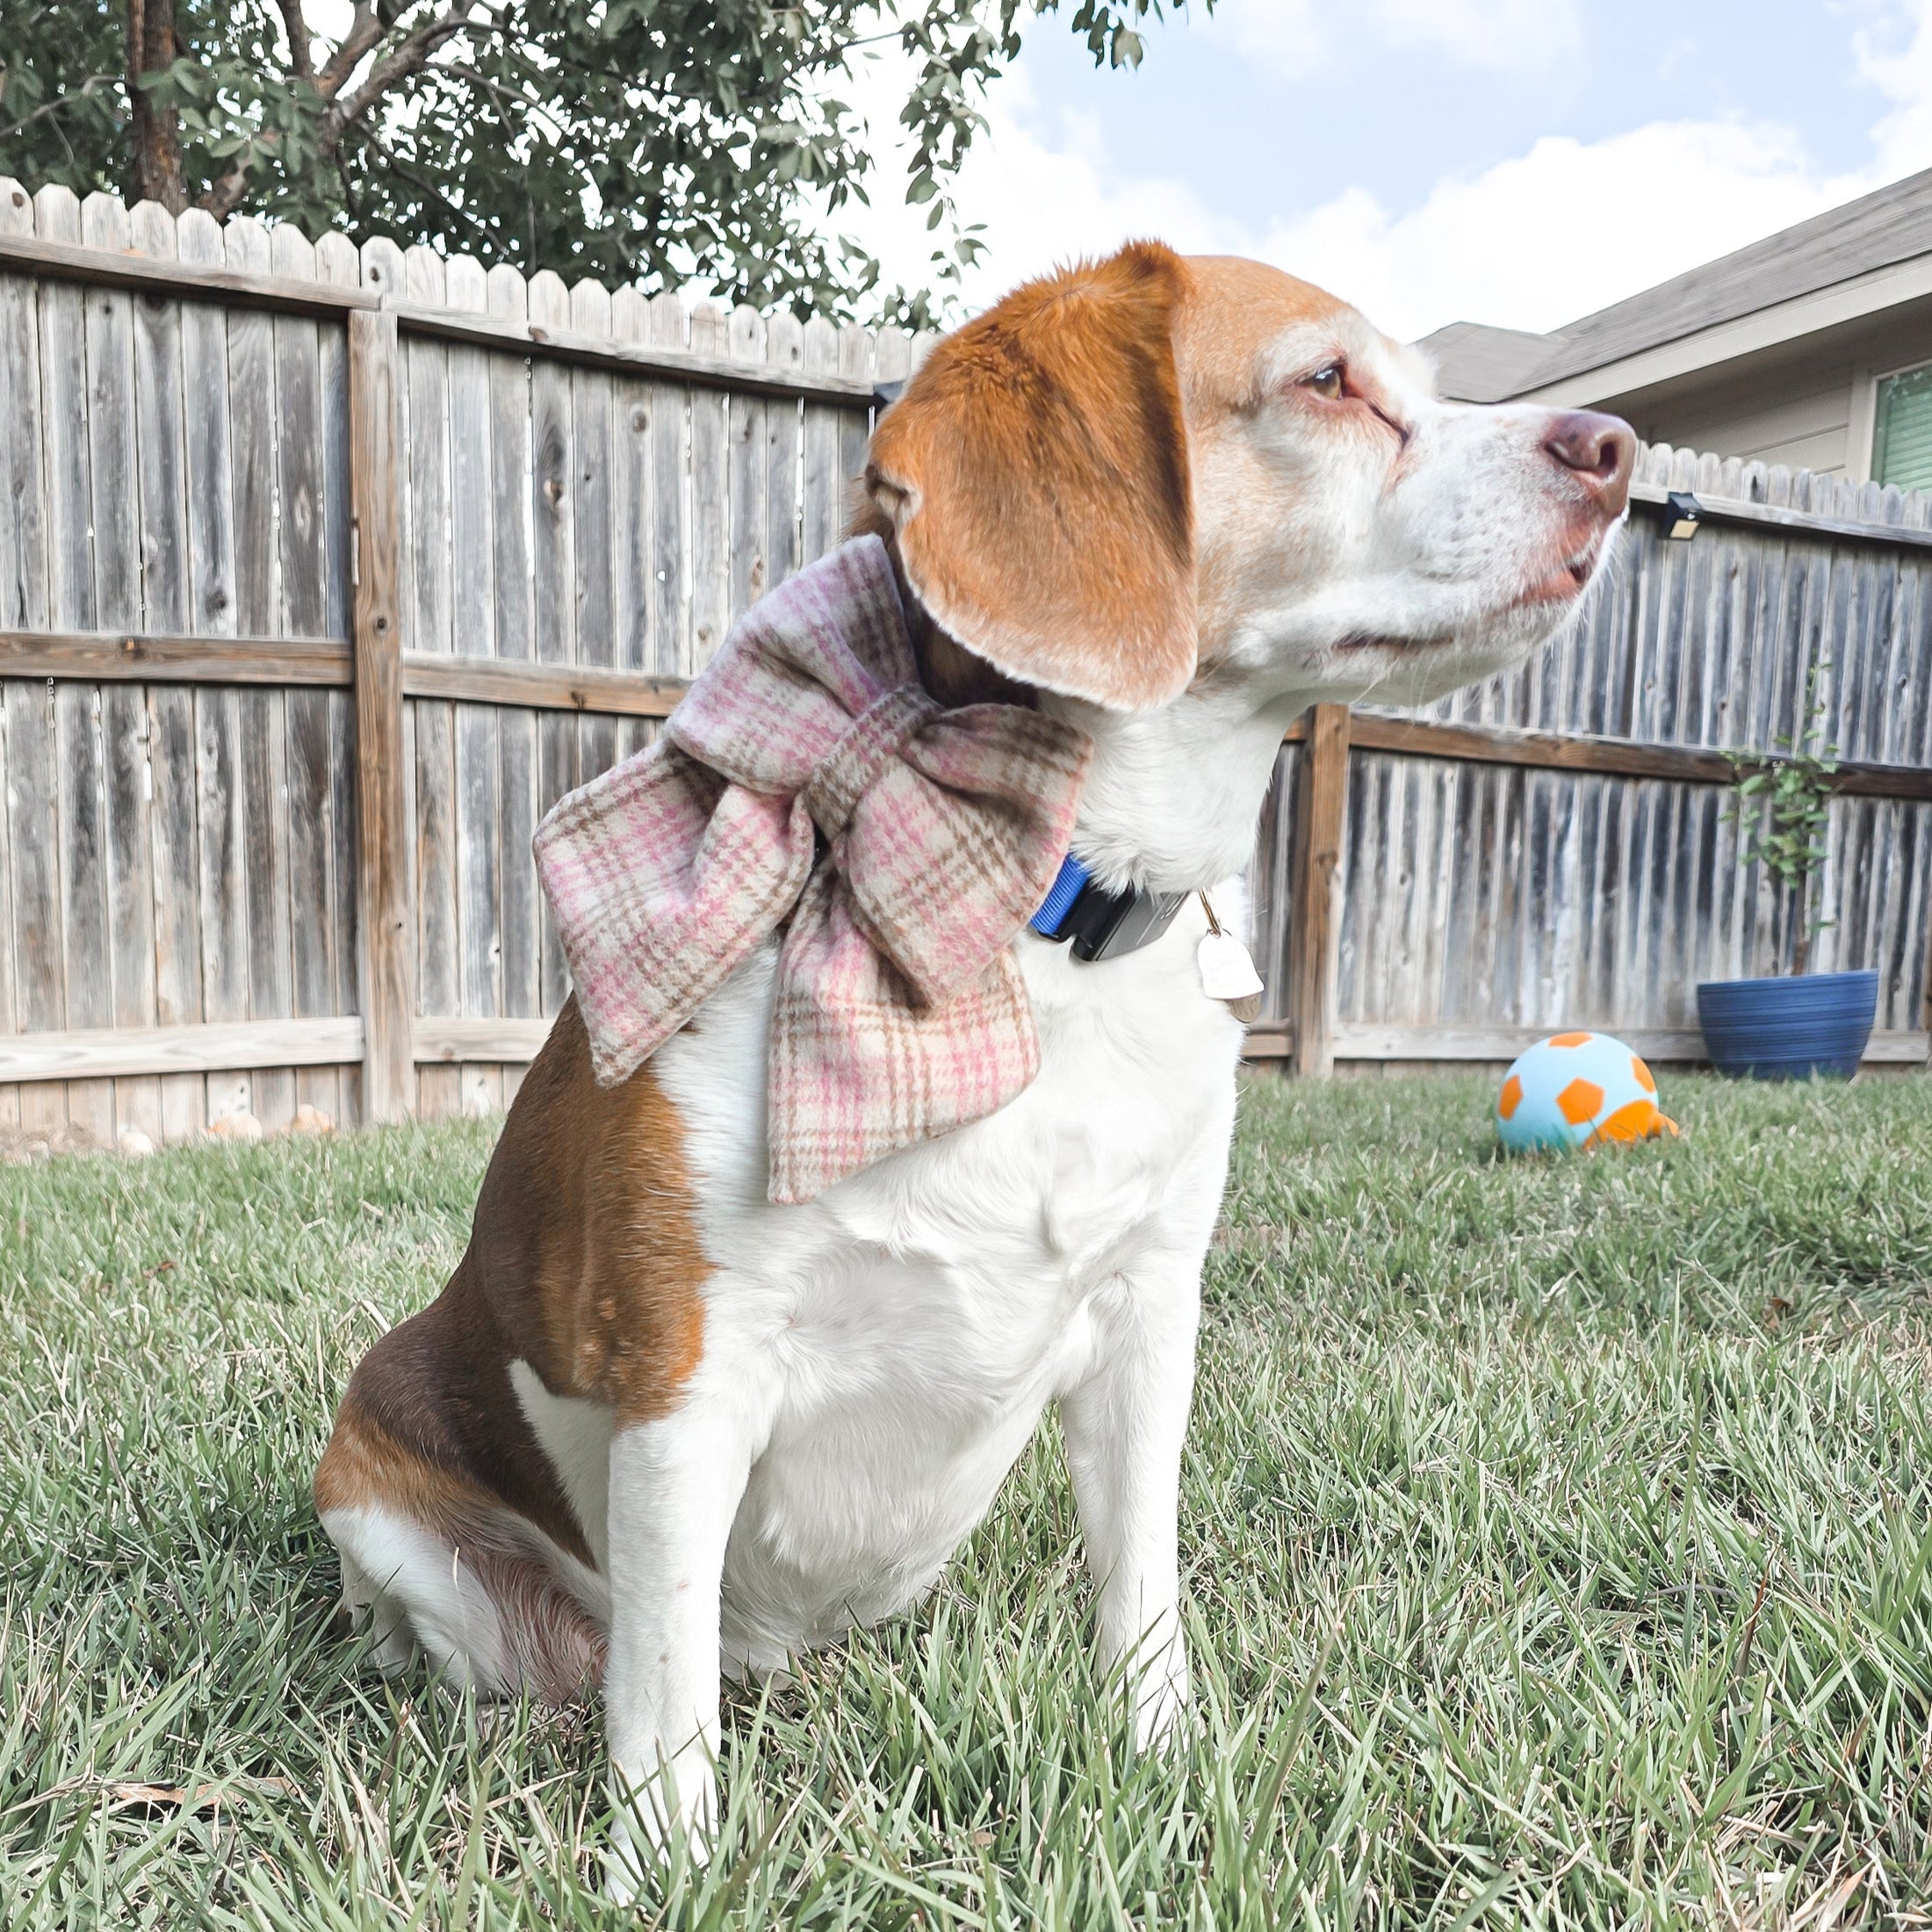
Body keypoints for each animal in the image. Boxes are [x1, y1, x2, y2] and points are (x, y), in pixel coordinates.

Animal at [313, 237, 1630, 1870]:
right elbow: (666, 1701)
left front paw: (1162, 1764)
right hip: (381, 1508)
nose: (1616, 451)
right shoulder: (691, 1378)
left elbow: (1143, 1589)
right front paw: (668, 1868)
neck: (1025, 925)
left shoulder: (1148, 1322)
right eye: (1329, 381)